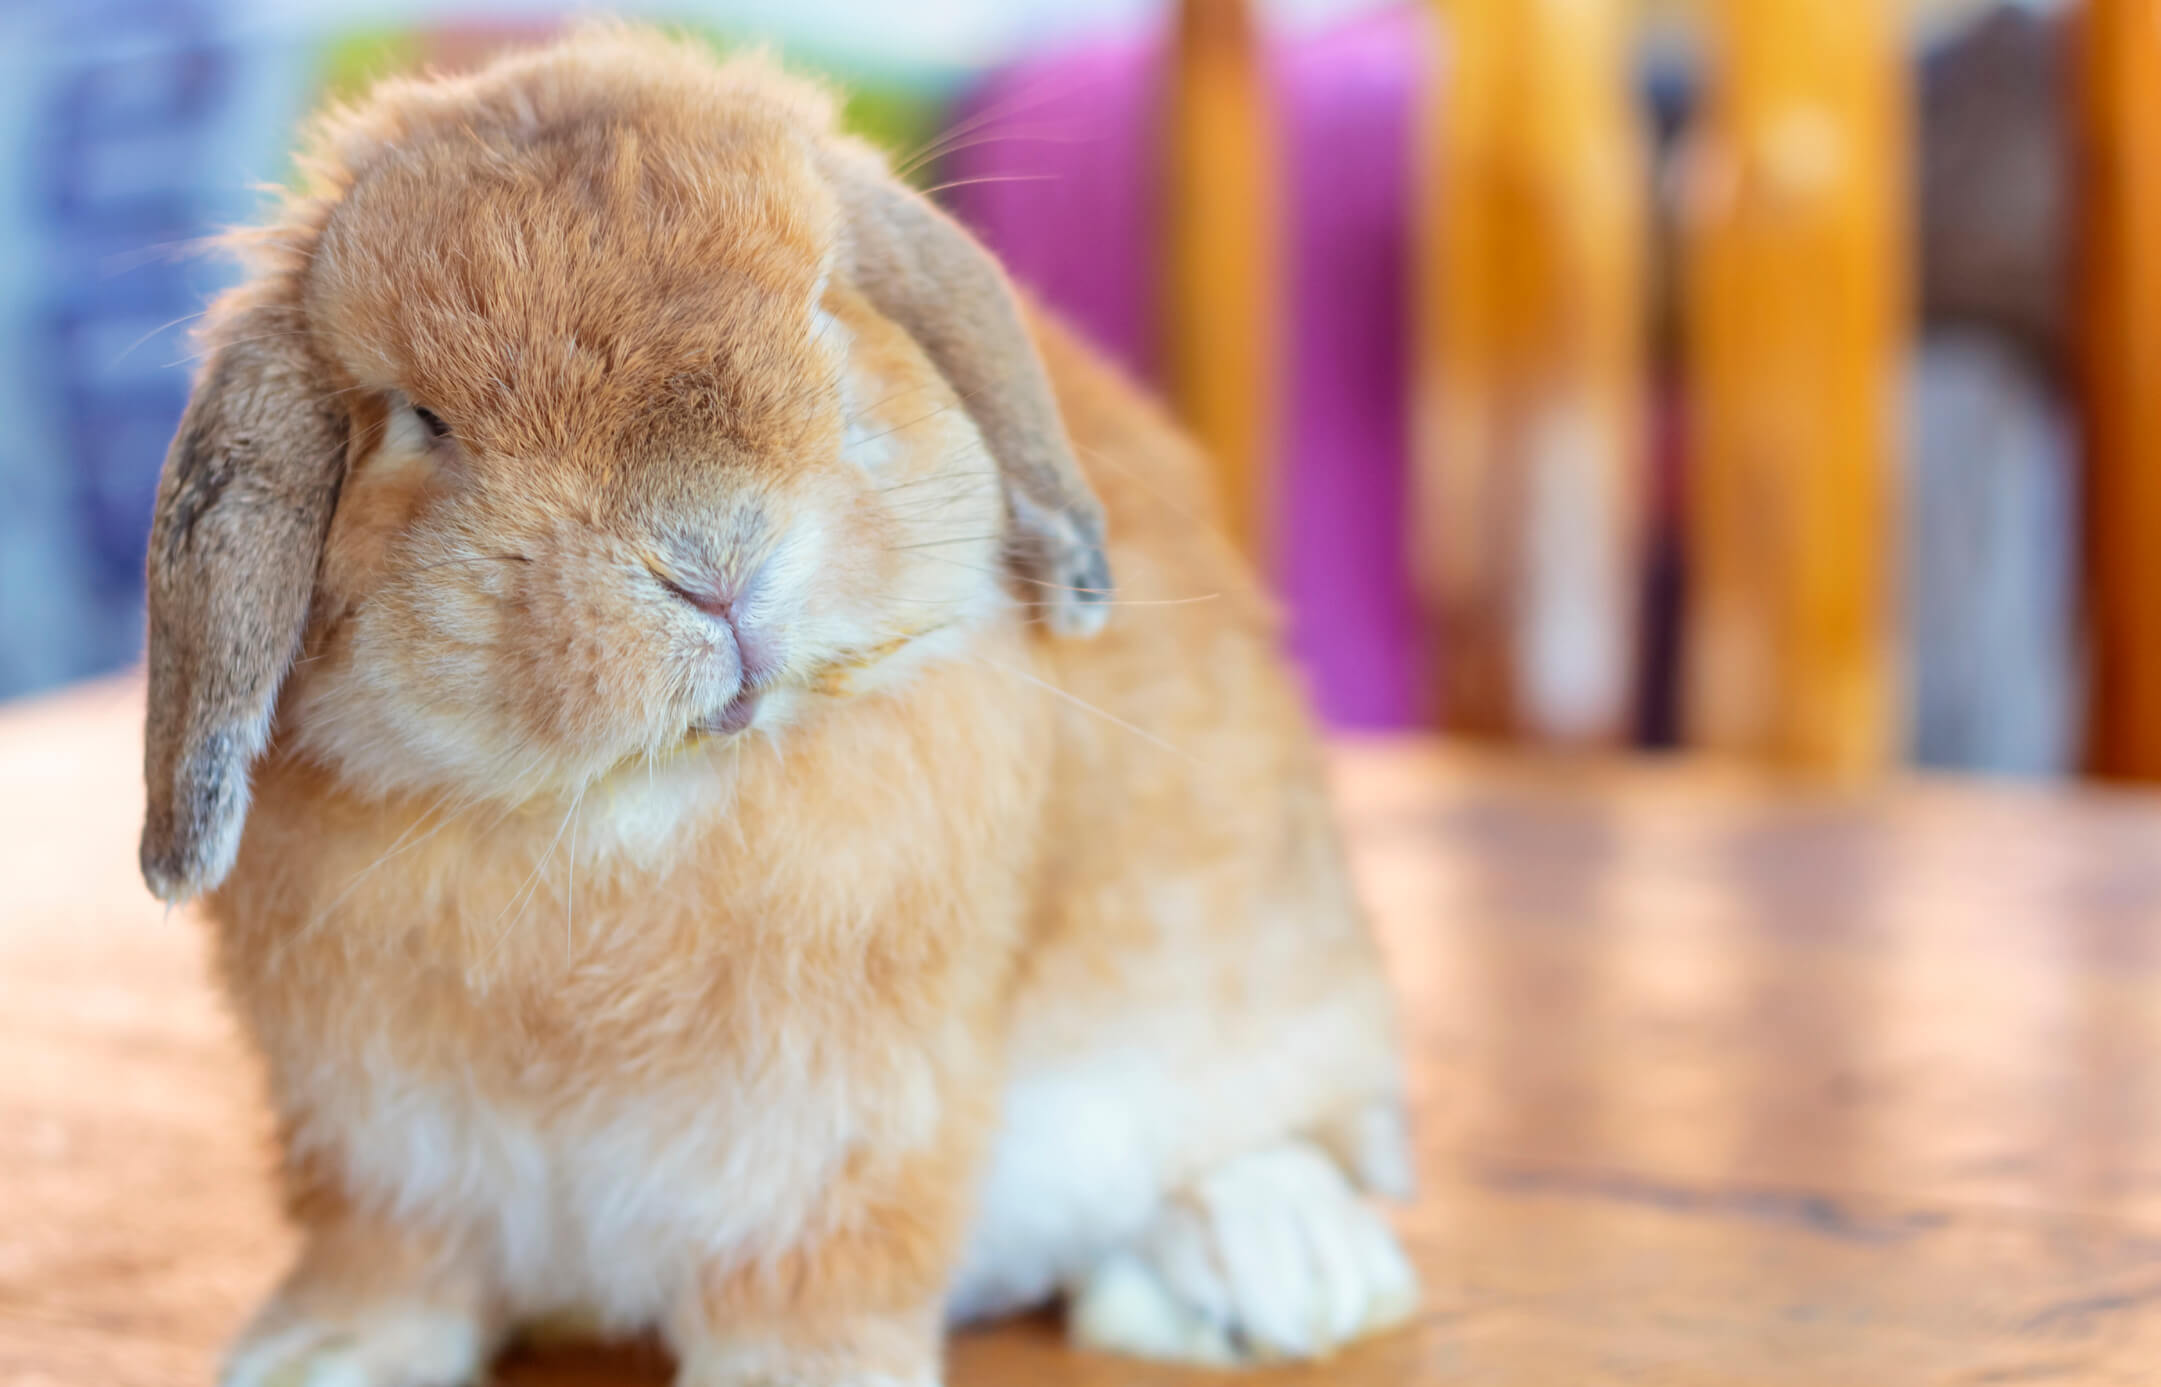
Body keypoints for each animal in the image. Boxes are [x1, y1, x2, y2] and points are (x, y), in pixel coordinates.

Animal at [139, 24, 1417, 1382]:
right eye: (421, 419)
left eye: (821, 308)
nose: (714, 556)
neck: (624, 802)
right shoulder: (377, 1143)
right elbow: (387, 1262)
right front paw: (315, 1353)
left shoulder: (845, 1137)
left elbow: (813, 1278)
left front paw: (800, 1374)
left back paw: (1275, 1267)